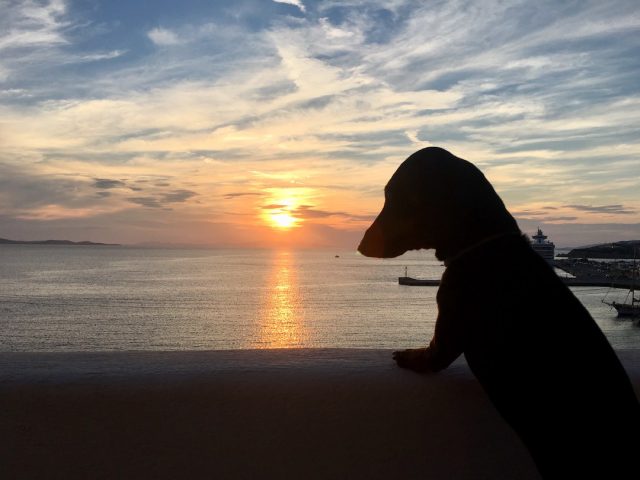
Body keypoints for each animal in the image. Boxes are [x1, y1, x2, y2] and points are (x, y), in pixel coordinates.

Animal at [358, 147, 636, 480]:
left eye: (396, 196)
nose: (360, 245)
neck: (484, 243)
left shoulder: (449, 323)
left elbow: (435, 354)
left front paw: (412, 357)